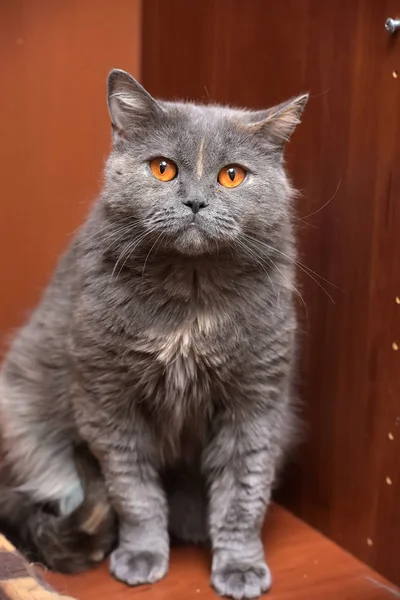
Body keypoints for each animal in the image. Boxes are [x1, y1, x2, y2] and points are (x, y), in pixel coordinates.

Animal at [0, 71, 308, 600]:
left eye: (232, 175)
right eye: (163, 169)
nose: (195, 201)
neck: (190, 296)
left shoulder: (257, 400)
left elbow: (243, 493)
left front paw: (240, 566)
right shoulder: (106, 398)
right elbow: (134, 491)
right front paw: (142, 554)